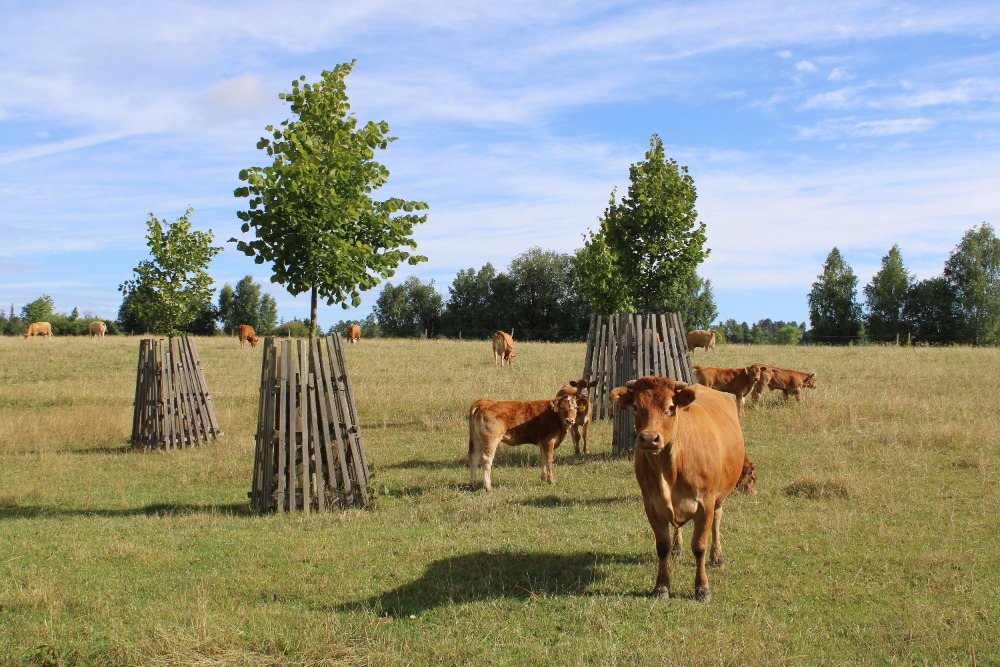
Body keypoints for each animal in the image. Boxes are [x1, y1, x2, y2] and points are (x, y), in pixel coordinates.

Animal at [612, 378, 748, 604]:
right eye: (636, 407)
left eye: (670, 407)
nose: (649, 438)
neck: (669, 469)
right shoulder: (651, 505)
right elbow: (662, 546)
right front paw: (661, 587)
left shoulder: (705, 503)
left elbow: (699, 546)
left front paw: (702, 588)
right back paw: (678, 549)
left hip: (719, 496)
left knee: (717, 519)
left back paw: (717, 556)